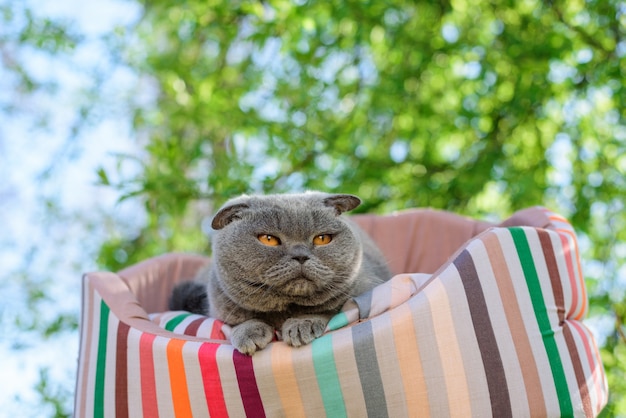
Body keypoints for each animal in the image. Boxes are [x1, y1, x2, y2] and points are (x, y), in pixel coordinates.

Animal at [168, 191, 388, 354]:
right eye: (268, 239)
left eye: (322, 238)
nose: (300, 256)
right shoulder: (221, 305)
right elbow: (242, 320)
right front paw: (249, 334)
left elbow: (328, 310)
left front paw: (301, 325)